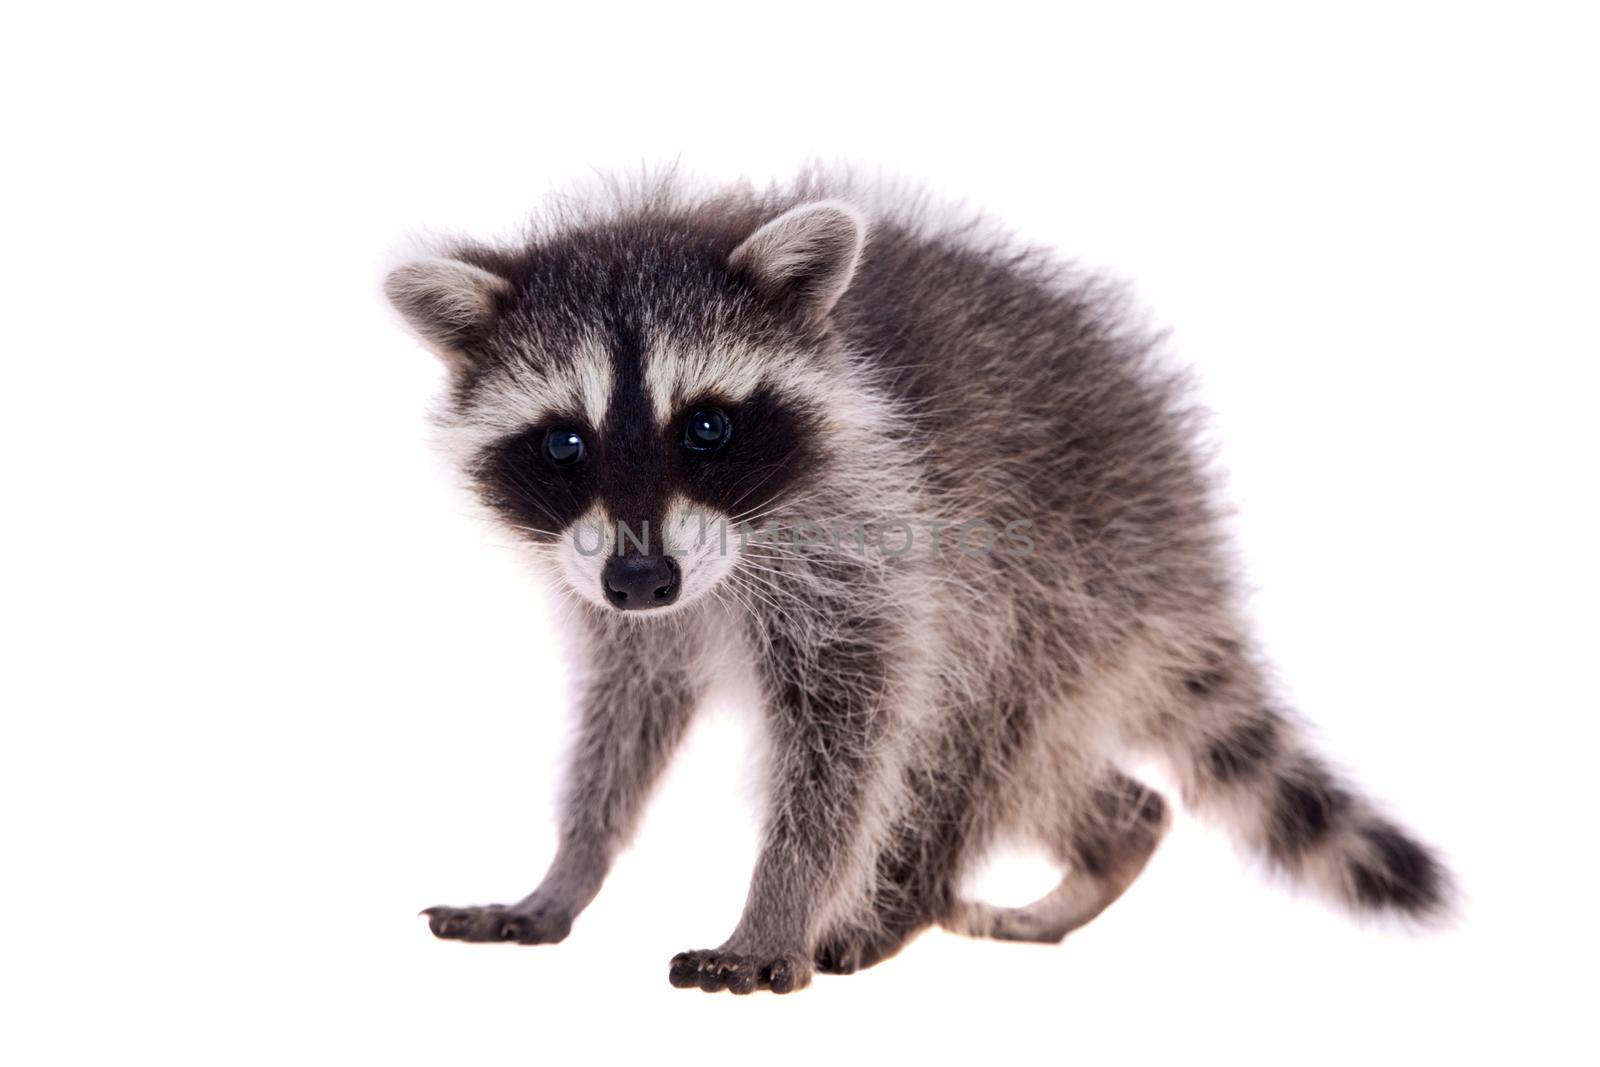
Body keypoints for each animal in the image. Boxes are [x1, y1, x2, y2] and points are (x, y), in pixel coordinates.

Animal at [384, 171, 1452, 998]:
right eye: (566, 441)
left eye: (709, 426)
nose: (644, 579)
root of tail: (1186, 532)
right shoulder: (618, 593)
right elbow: (623, 719)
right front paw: (569, 865)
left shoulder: (874, 550)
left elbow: (849, 745)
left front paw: (777, 909)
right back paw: (1112, 839)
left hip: (1065, 579)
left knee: (971, 740)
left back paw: (906, 899)